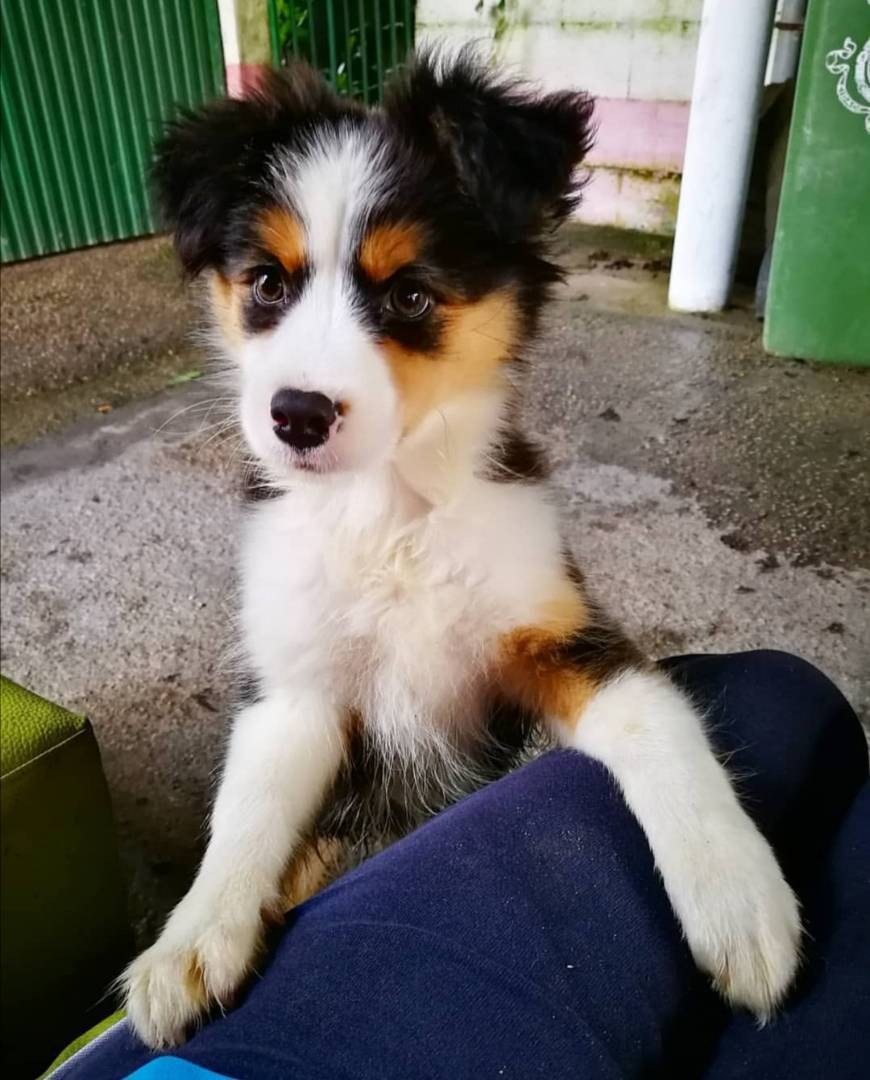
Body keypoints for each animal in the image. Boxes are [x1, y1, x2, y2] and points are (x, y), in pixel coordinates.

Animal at [124, 48, 803, 1045]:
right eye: (267, 284)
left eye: (409, 294)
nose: (296, 416)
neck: (389, 514)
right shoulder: (297, 692)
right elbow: (246, 813)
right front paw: (191, 941)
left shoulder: (558, 631)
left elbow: (656, 721)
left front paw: (740, 901)